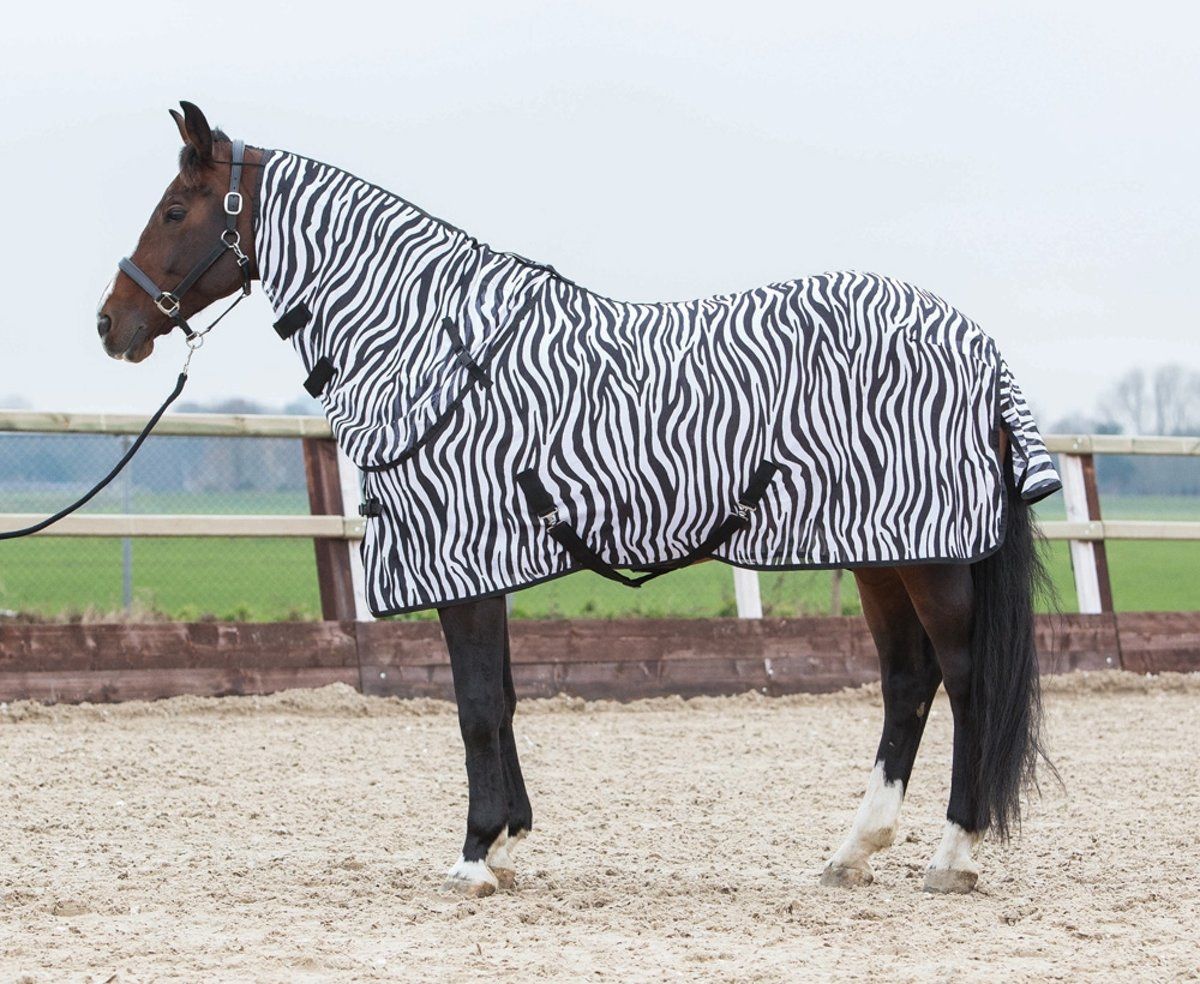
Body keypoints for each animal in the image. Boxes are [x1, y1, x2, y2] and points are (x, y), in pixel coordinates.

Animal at [99, 102, 1061, 898]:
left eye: (176, 211)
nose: (112, 324)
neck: (433, 345)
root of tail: (978, 344)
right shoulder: (481, 566)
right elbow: (503, 697)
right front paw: (509, 840)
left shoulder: (462, 561)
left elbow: (477, 706)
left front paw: (475, 855)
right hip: (878, 553)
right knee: (907, 681)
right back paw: (853, 850)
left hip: (931, 559)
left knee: (964, 679)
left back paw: (953, 855)